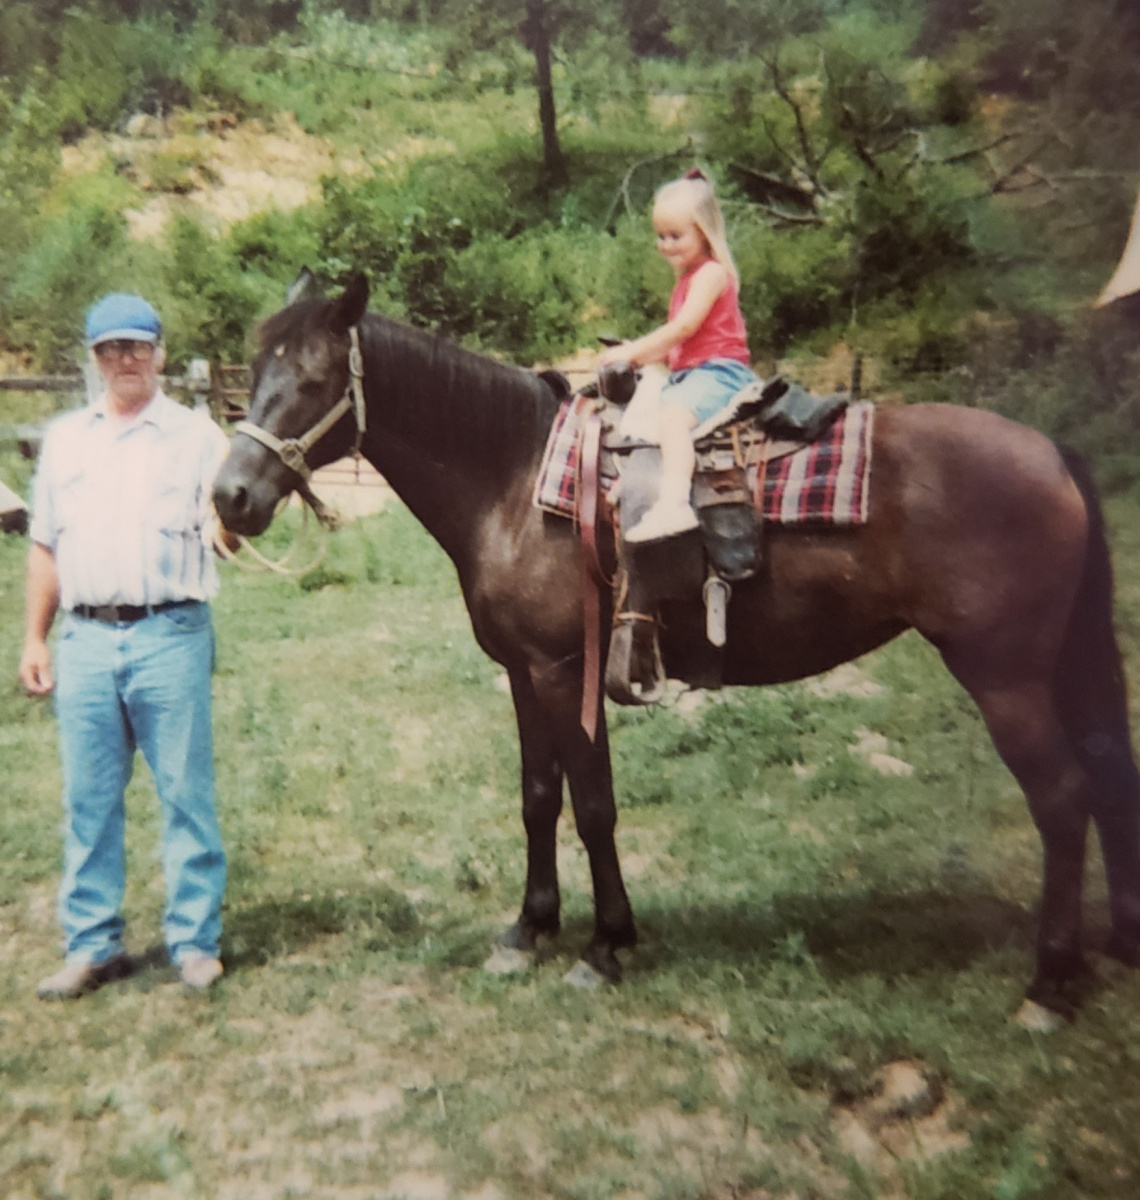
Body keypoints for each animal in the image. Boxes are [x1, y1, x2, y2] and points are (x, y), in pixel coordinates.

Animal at [212, 274, 1140, 1022]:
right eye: (253, 377)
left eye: (315, 379)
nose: (230, 496)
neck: (515, 481)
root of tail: (1051, 450)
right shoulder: (523, 674)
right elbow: (538, 797)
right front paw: (528, 930)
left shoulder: (567, 673)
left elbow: (592, 805)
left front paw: (605, 946)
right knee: (1102, 783)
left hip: (1006, 677)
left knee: (1063, 800)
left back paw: (1049, 987)